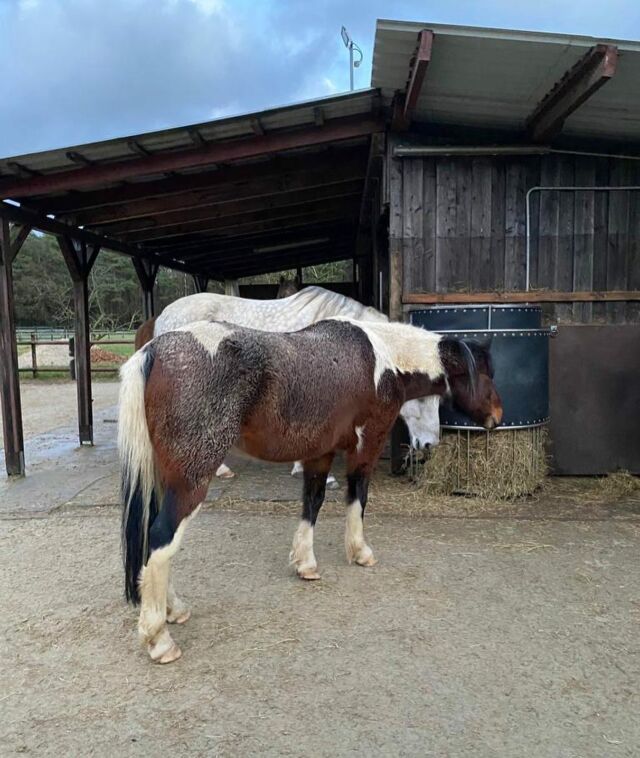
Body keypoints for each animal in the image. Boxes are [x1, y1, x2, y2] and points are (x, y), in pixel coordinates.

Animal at [119, 318, 500, 664]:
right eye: (484, 373)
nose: (498, 415)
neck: (382, 360)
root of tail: (154, 351)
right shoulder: (365, 448)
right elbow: (357, 498)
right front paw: (360, 551)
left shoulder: (320, 453)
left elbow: (312, 503)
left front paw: (305, 563)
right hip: (191, 482)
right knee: (161, 539)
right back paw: (159, 639)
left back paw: (174, 609)